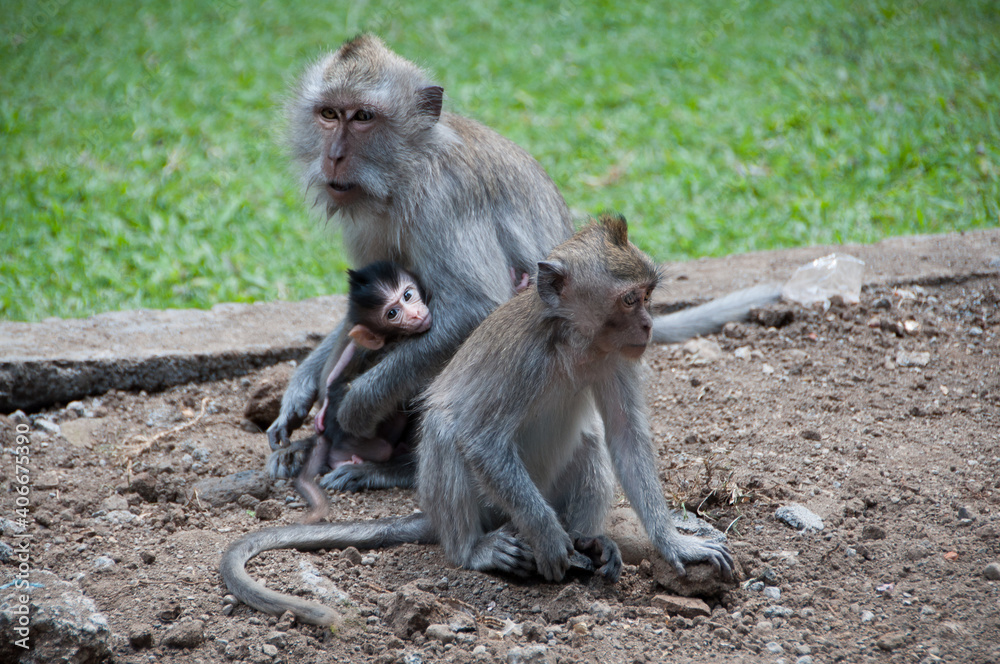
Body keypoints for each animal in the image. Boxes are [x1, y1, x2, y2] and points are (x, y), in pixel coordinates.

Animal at [265, 34, 780, 493]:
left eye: (363, 117)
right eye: (329, 114)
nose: (334, 157)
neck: (407, 170)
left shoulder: (442, 198)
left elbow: (473, 310)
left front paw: (354, 407)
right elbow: (360, 310)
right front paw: (302, 390)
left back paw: (393, 470)